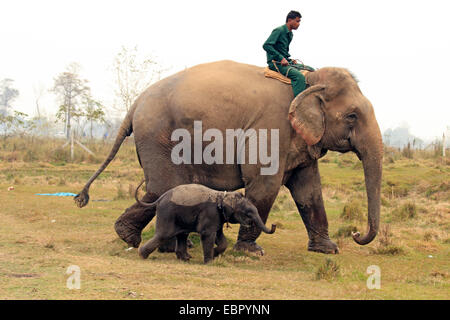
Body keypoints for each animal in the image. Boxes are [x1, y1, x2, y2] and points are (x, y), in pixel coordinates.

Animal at [75, 60, 382, 255]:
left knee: (162, 189)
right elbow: (265, 183)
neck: (308, 79)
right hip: (159, 136)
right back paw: (144, 241)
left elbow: (309, 190)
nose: (356, 234)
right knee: (162, 187)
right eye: (352, 116)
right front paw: (250, 252)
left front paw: (328, 250)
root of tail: (136, 103)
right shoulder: (271, 127)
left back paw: (136, 238)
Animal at [135, 184, 276, 264]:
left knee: (182, 235)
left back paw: (186, 259)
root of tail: (160, 198)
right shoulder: (210, 213)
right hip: (167, 213)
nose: (274, 225)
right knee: (163, 235)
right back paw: (142, 255)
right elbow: (207, 234)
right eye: (247, 213)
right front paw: (209, 262)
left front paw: (215, 254)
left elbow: (220, 237)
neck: (223, 195)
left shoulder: (218, 217)